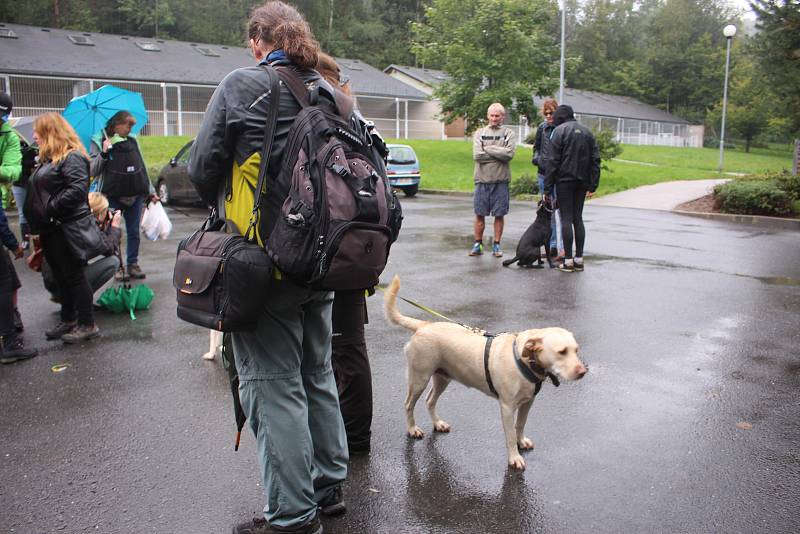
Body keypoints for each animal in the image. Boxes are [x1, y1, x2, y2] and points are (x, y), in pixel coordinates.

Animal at [384, 274, 592, 472]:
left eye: (576, 350)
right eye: (561, 352)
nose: (583, 372)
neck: (524, 360)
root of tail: (425, 325)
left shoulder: (528, 402)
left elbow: (520, 424)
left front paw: (521, 441)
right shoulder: (507, 407)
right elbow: (510, 435)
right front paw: (514, 458)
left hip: (442, 378)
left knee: (430, 401)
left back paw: (438, 424)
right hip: (419, 379)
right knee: (408, 404)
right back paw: (412, 429)